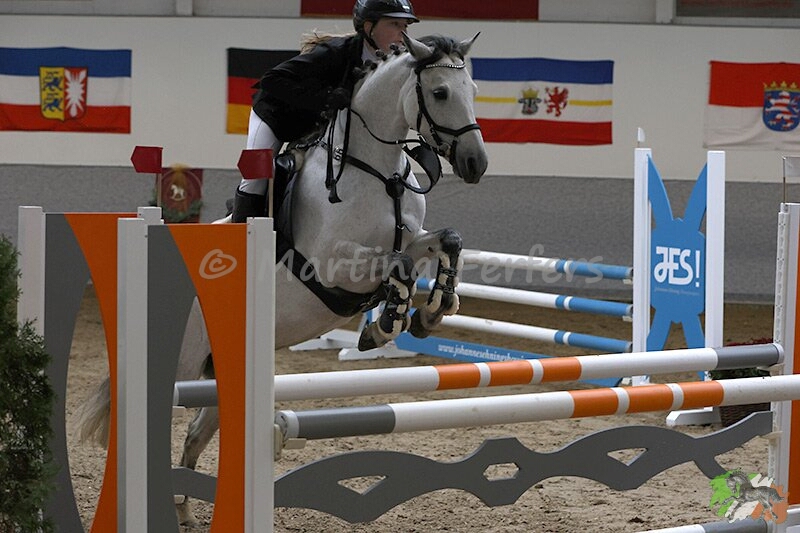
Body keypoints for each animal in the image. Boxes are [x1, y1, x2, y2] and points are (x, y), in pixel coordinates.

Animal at [77, 32, 488, 526]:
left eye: (473, 90)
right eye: (441, 92)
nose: (476, 163)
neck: (376, 171)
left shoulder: (408, 240)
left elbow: (444, 241)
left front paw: (432, 312)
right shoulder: (333, 266)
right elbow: (400, 267)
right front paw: (385, 325)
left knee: (195, 432)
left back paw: (186, 512)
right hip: (180, 365)